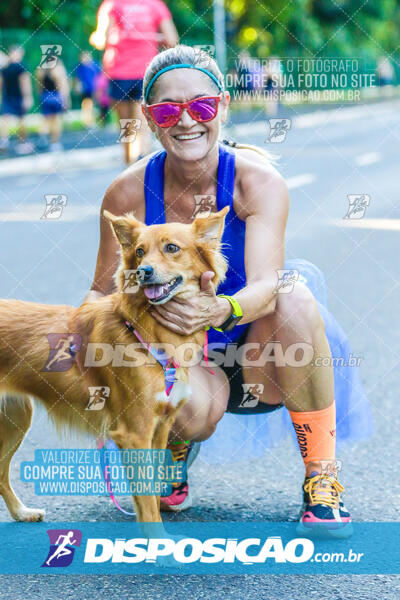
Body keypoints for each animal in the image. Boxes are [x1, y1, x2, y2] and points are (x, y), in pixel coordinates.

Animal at [0, 206, 228, 524]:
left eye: (172, 248)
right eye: (140, 251)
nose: (144, 272)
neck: (145, 330)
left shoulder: (160, 427)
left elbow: (153, 492)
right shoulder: (134, 433)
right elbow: (148, 504)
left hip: (17, 417)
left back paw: (21, 512)